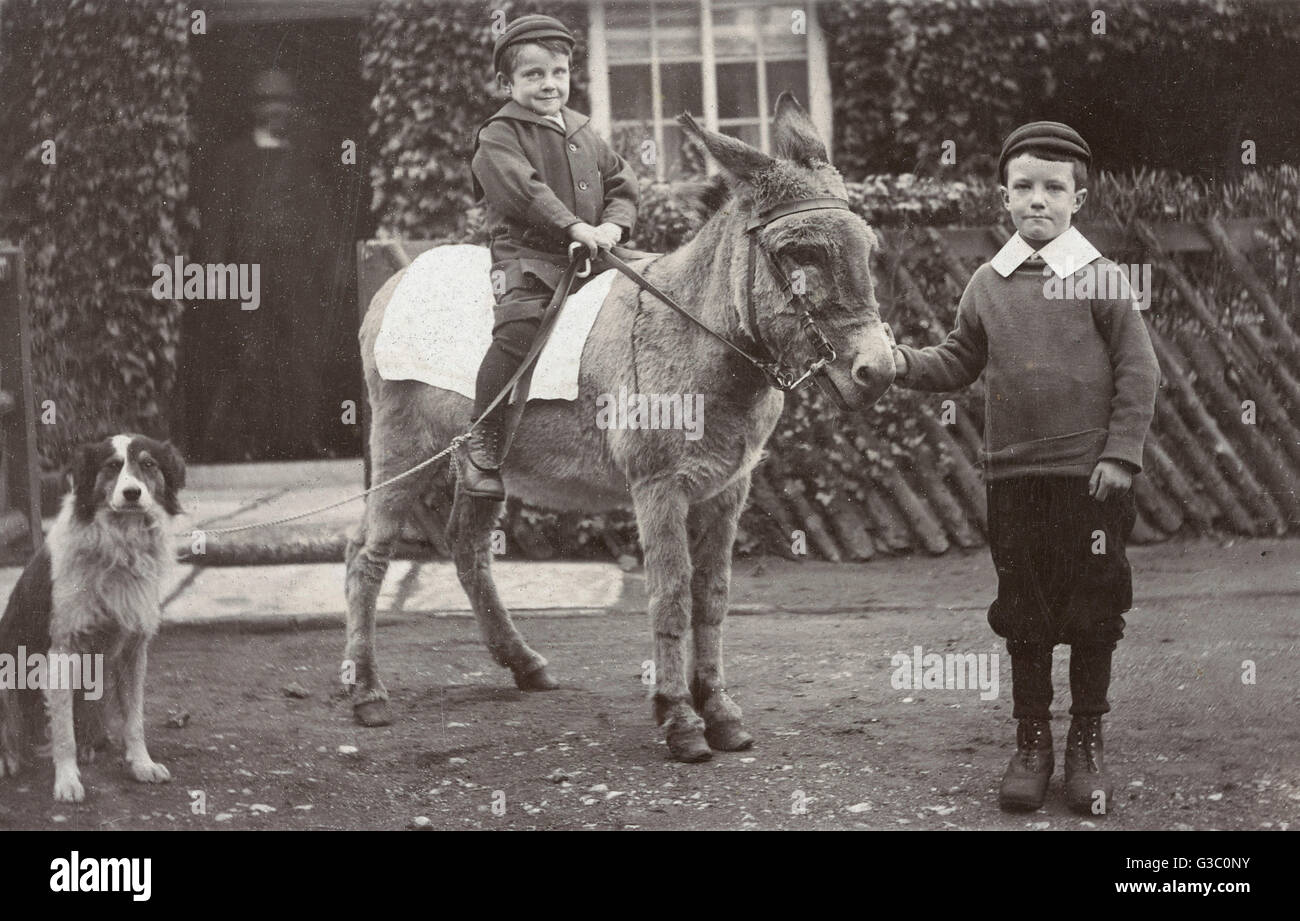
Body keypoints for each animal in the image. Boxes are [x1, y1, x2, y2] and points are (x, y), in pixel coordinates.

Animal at [0, 431, 185, 796]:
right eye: (112, 466)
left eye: (148, 465)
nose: (132, 493)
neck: (119, 544)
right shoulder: (61, 650)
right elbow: (63, 734)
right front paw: (67, 781)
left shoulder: (133, 650)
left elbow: (134, 720)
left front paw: (142, 765)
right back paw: (9, 759)